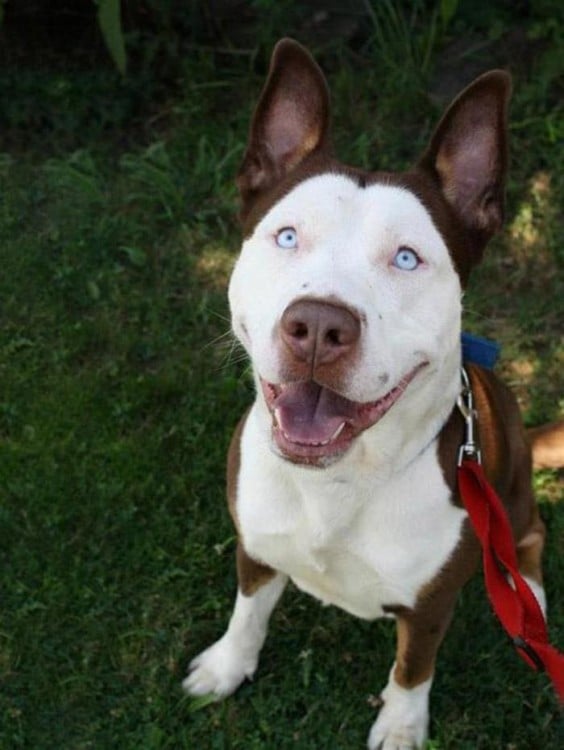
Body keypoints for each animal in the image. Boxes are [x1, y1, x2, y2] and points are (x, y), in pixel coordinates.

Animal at [186, 41, 552, 750]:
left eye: (407, 259)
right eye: (288, 236)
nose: (318, 327)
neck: (339, 480)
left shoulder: (431, 604)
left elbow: (413, 668)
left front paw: (401, 726)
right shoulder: (254, 546)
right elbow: (248, 612)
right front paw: (227, 666)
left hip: (514, 493)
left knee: (530, 538)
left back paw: (531, 604)